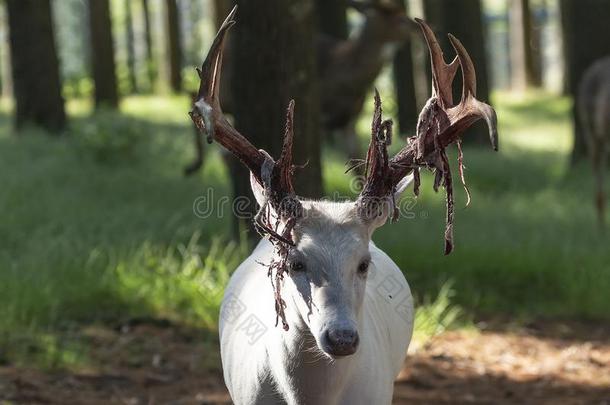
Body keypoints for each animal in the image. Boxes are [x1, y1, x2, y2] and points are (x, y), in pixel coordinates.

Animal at [184, 0, 414, 174]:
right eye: (398, 18)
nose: (414, 24)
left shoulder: (348, 120)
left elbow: (358, 168)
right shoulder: (317, 113)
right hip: (225, 91)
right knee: (194, 98)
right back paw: (194, 165)